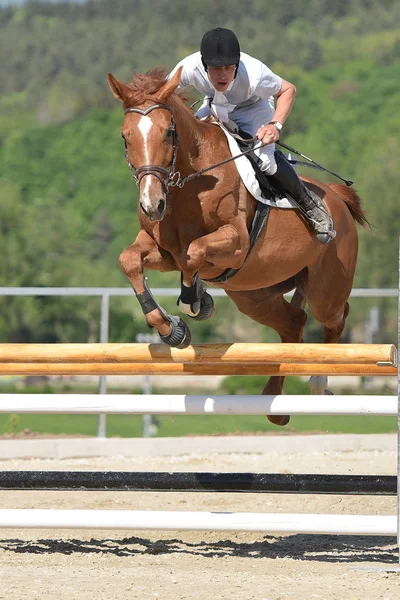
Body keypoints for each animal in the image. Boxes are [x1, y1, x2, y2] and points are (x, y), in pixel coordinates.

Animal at [107, 67, 368, 426]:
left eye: (169, 133)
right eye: (125, 136)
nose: (152, 205)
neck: (189, 184)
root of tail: (336, 197)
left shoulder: (235, 243)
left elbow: (194, 254)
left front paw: (195, 303)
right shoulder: (161, 250)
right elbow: (130, 260)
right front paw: (172, 329)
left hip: (324, 290)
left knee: (335, 318)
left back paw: (318, 383)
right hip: (255, 295)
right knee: (294, 324)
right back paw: (275, 403)